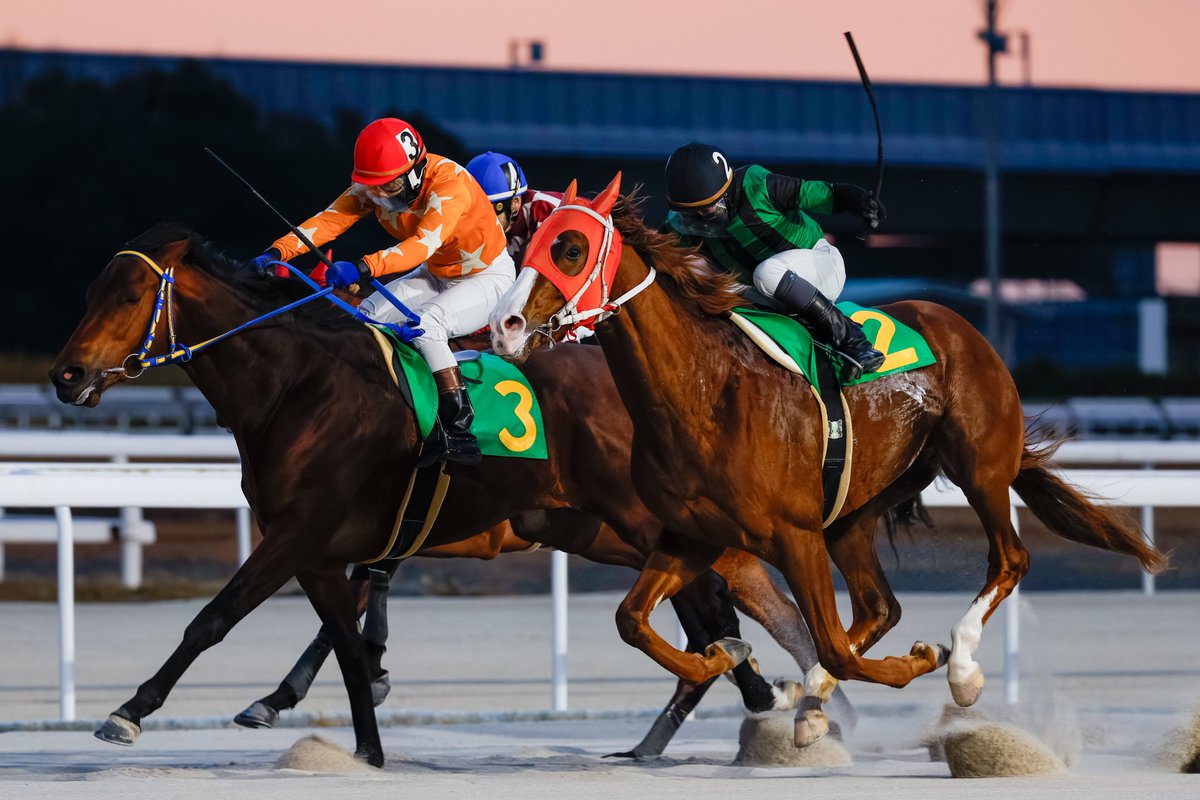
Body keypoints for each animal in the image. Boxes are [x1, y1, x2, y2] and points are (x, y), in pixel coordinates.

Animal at [49, 223, 842, 765]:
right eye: (86, 293)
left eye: (129, 294)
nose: (66, 374)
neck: (297, 385)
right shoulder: (319, 551)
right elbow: (345, 644)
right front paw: (364, 749)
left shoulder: (298, 533)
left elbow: (214, 619)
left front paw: (129, 711)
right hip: (596, 530)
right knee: (708, 612)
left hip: (646, 525)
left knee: (715, 606)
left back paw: (762, 697)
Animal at [488, 175, 1170, 747]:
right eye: (524, 246)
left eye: (571, 248)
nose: (505, 326)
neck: (704, 393)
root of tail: (960, 325)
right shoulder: (689, 535)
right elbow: (632, 620)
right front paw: (732, 660)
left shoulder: (794, 534)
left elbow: (836, 647)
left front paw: (923, 661)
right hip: (854, 510)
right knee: (878, 606)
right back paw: (813, 699)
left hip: (978, 466)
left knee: (1008, 559)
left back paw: (961, 668)